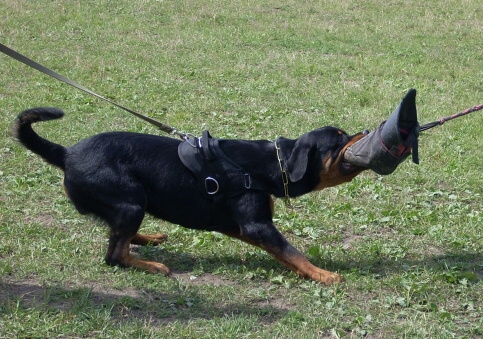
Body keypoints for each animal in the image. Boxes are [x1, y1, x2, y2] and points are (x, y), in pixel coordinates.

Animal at [13, 108, 366, 284]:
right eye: (340, 138)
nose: (364, 131)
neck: (272, 163)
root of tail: (66, 154)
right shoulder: (257, 226)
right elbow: (294, 252)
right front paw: (323, 274)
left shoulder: (241, 227)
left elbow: (285, 254)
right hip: (130, 201)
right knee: (114, 255)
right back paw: (152, 265)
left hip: (131, 205)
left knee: (119, 236)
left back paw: (148, 238)